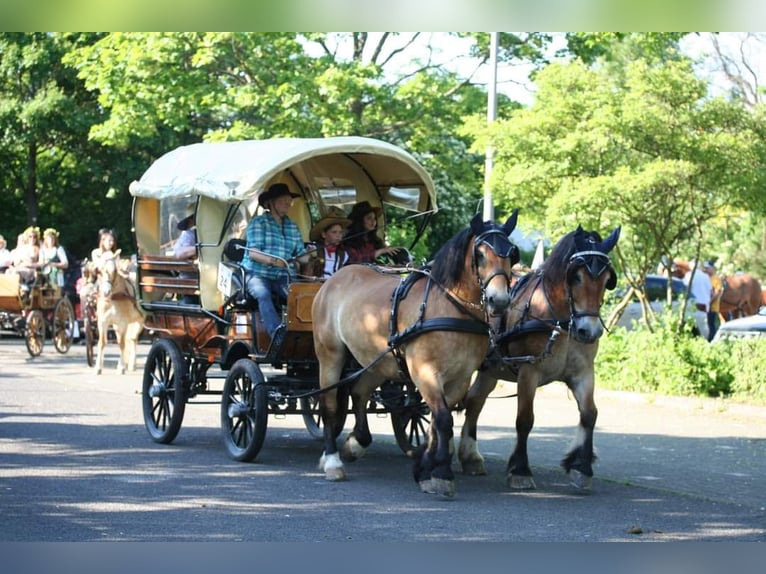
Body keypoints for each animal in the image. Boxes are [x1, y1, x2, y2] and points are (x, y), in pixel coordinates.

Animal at [312, 212, 520, 500]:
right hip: (330, 354)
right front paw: (441, 473)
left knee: (359, 392)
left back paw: (355, 443)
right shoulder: (424, 372)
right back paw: (332, 460)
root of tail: (335, 278)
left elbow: (436, 420)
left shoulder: (460, 378)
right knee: (328, 404)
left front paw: (425, 468)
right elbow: (442, 419)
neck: (450, 307)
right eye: (479, 254)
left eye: (512, 253)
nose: (498, 301)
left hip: (377, 361)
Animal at [460, 225, 620, 490]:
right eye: (576, 276)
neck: (560, 322)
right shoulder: (529, 370)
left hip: (490, 369)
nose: (589, 331)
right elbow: (525, 419)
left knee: (474, 401)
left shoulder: (583, 372)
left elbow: (590, 414)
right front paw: (520, 470)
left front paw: (581, 467)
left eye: (608, 279)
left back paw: (470, 457)